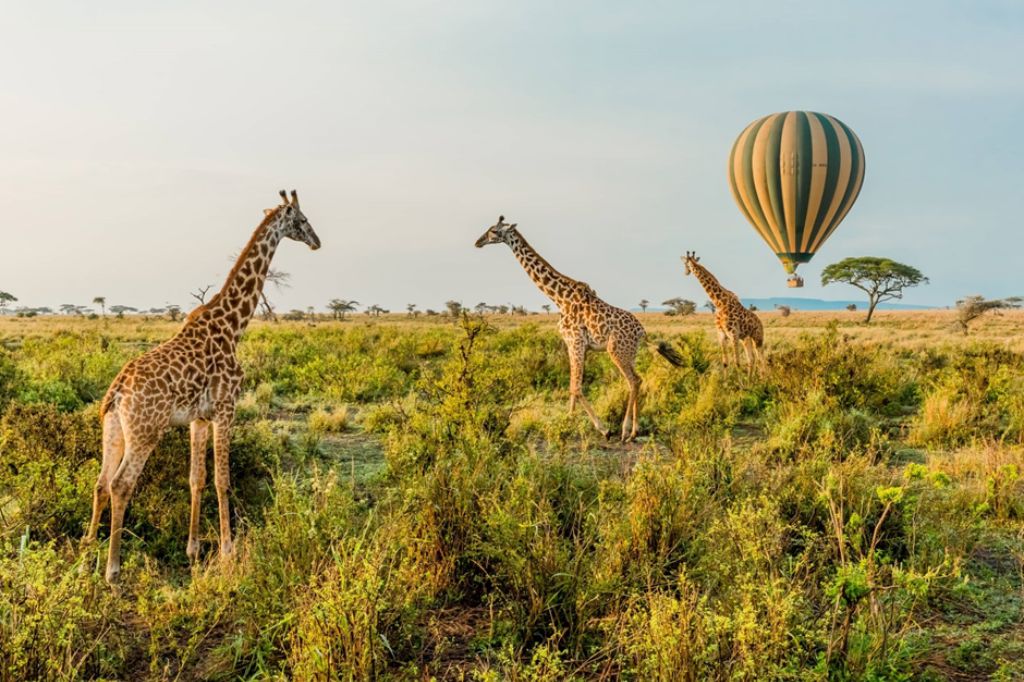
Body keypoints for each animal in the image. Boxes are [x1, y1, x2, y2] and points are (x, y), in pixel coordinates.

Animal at [82, 189, 319, 577]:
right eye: (302, 220)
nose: (316, 241)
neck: (234, 326)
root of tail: (117, 392)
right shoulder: (226, 407)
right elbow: (223, 480)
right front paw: (228, 550)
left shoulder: (199, 418)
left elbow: (197, 478)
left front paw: (193, 549)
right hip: (146, 431)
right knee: (121, 484)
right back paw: (112, 569)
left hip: (113, 428)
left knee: (101, 483)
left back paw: (87, 551)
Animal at [475, 216, 684, 440]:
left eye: (494, 231)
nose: (478, 242)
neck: (559, 298)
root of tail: (642, 332)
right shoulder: (575, 345)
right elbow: (572, 386)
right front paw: (568, 420)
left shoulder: (575, 341)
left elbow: (576, 387)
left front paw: (602, 428)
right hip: (630, 353)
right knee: (638, 380)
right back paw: (634, 431)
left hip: (616, 350)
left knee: (634, 381)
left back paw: (624, 430)